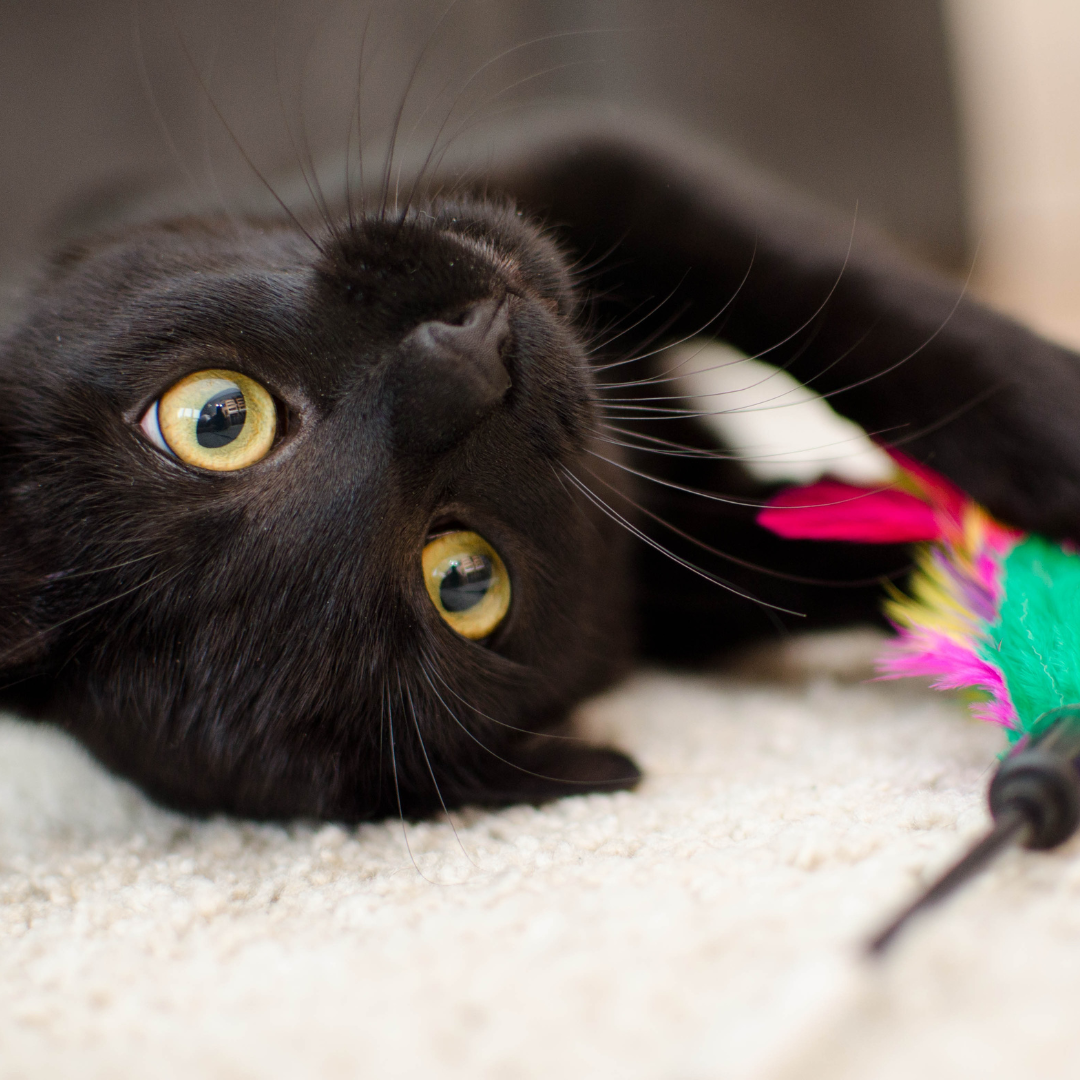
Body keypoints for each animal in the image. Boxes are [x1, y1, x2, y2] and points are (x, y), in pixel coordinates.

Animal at [2, 113, 1080, 816]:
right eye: (463, 581)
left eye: (217, 418)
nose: (471, 361)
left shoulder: (601, 163)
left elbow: (844, 301)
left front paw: (1054, 433)